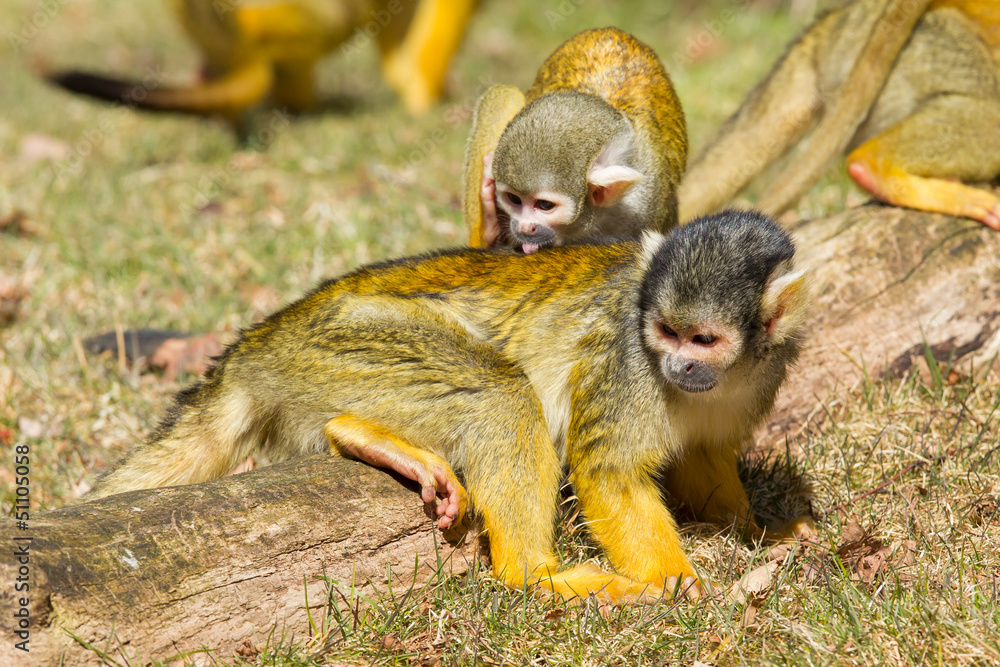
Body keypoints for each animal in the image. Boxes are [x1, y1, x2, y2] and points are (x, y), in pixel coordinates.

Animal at [86, 210, 810, 604]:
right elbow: (608, 470)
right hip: (341, 343)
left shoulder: (758, 374)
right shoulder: (628, 364)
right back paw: (535, 576)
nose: (678, 366)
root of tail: (254, 344)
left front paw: (757, 530)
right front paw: (679, 582)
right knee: (501, 392)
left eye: (703, 340)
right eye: (663, 331)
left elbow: (706, 456)